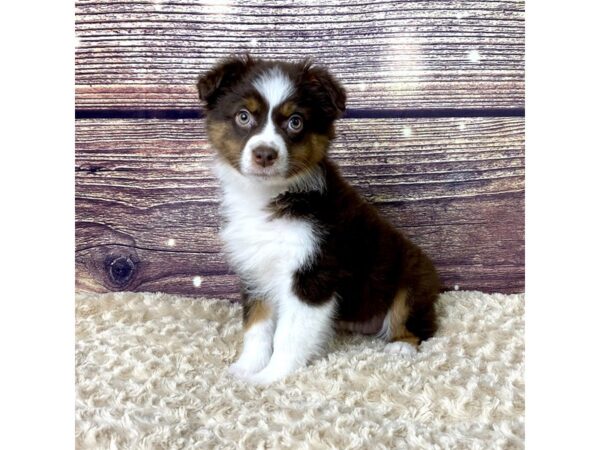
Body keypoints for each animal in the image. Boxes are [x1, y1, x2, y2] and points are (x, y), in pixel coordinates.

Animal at [197, 55, 440, 386]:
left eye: (295, 122)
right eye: (243, 116)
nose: (265, 155)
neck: (270, 197)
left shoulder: (313, 274)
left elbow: (288, 335)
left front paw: (271, 376)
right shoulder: (256, 270)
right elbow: (257, 326)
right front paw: (246, 368)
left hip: (412, 282)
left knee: (419, 323)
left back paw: (401, 345)